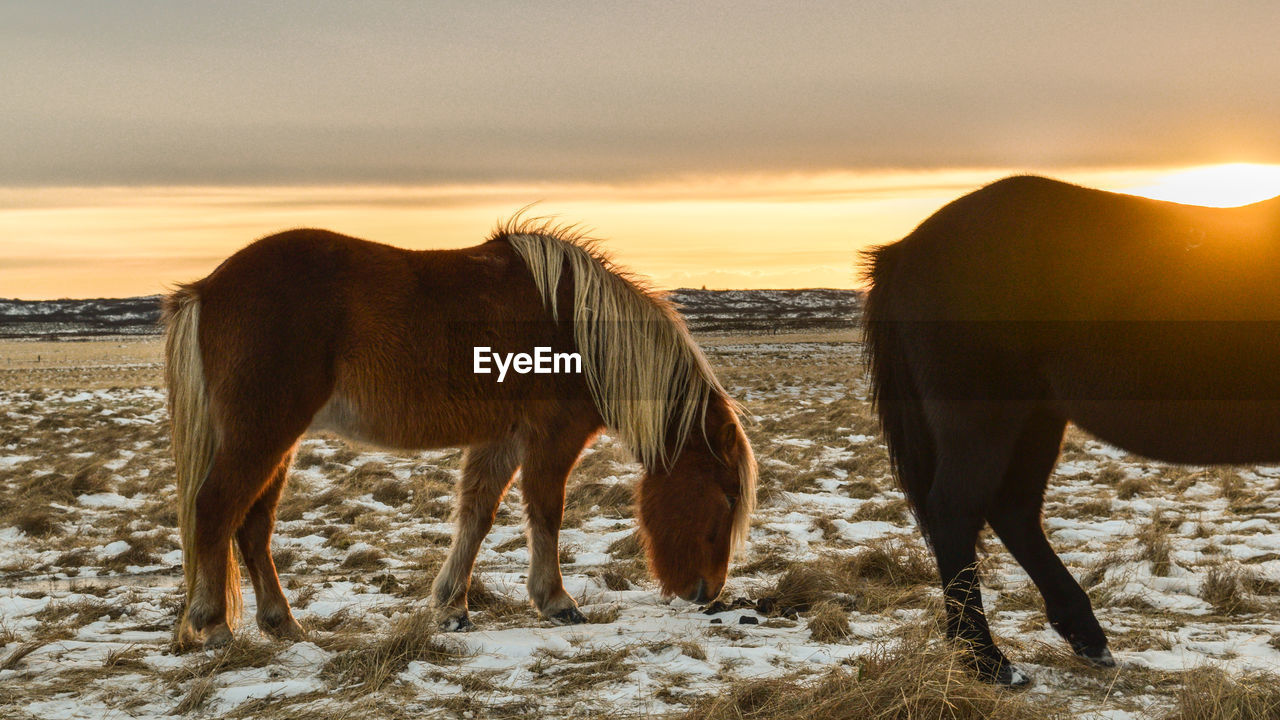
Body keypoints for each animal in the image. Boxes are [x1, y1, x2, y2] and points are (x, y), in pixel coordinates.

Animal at [163, 219, 752, 645]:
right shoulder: (551, 438)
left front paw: (451, 605)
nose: (708, 594)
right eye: (726, 498)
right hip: (262, 433)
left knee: (252, 526)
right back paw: (214, 625)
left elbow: (476, 514)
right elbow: (546, 513)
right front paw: (555, 601)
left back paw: (282, 624)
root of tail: (208, 288)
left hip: (277, 439)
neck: (579, 330)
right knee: (216, 510)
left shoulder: (501, 438)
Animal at [860, 175, 1280, 681]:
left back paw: (1083, 636)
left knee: (1013, 511)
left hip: (1038, 418)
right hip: (985, 419)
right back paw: (988, 661)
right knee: (956, 510)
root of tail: (906, 248)